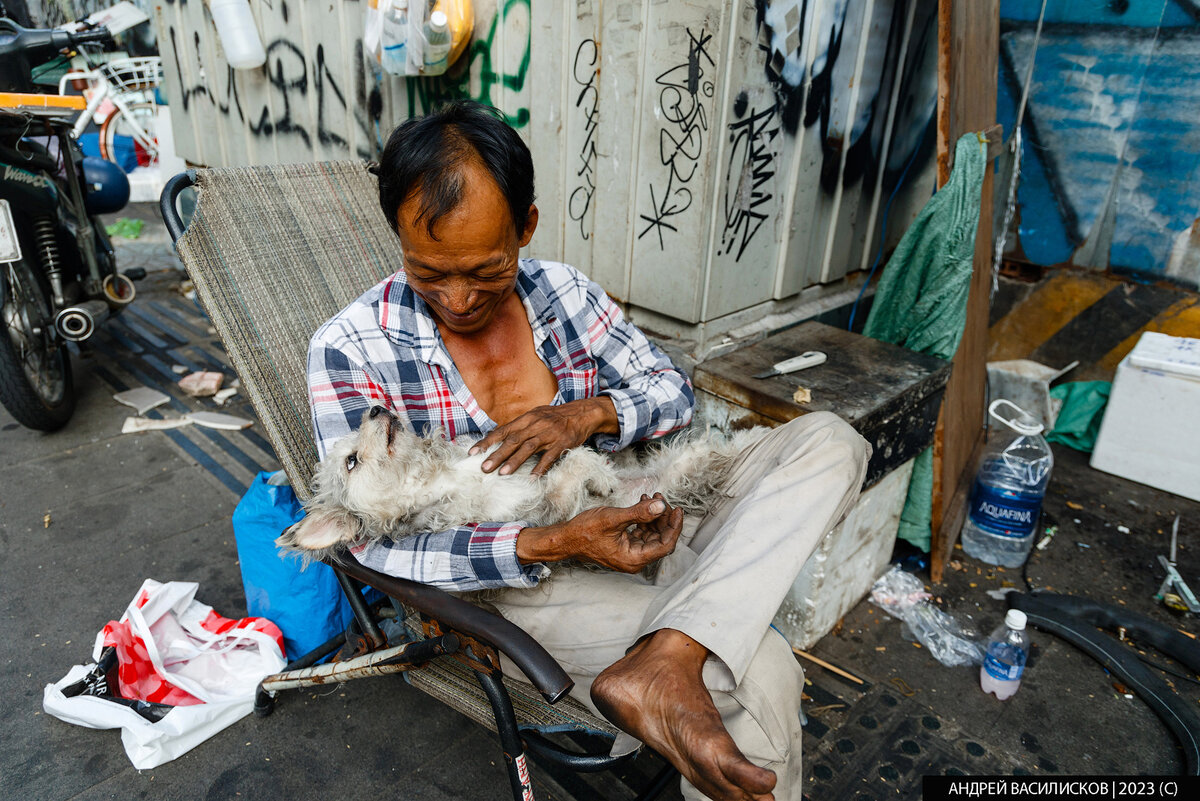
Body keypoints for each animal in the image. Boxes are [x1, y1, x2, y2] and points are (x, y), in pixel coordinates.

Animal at [280, 407, 768, 556]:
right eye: (351, 462)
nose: (375, 409)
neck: (436, 477)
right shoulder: (549, 507)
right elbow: (576, 466)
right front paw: (603, 482)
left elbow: (576, 454)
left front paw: (605, 473)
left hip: (685, 461)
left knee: (715, 450)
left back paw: (756, 434)